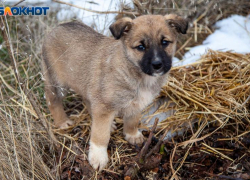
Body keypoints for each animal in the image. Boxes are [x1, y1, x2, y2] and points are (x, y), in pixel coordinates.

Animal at [42, 14, 188, 170]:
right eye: (140, 47)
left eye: (165, 42)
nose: (157, 65)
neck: (135, 72)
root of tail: (56, 27)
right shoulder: (104, 106)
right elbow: (100, 135)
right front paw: (98, 158)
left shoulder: (135, 104)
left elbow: (132, 121)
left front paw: (132, 135)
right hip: (57, 82)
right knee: (52, 101)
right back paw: (62, 122)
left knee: (87, 100)